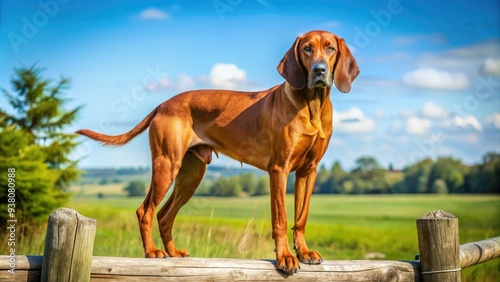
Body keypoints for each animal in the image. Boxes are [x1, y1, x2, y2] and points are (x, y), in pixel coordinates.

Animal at [77, 30, 360, 274]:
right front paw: (285, 257)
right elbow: (280, 219)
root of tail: (163, 103)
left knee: (164, 214)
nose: (319, 70)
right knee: (145, 211)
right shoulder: (279, 169)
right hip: (167, 164)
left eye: (330, 48)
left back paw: (173, 252)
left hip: (191, 174)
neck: (312, 105)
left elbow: (301, 217)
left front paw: (304, 252)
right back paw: (152, 252)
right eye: (307, 49)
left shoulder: (308, 171)